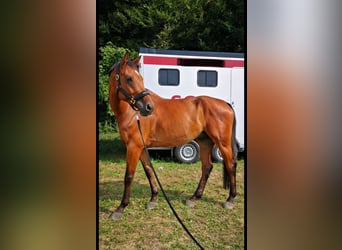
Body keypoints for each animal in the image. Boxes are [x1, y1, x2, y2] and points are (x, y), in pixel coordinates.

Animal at [108, 52, 239, 219]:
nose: (149, 107)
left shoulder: (133, 147)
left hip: (223, 143)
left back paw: (230, 200)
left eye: (139, 78)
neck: (132, 114)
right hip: (205, 142)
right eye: (129, 78)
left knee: (230, 165)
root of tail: (226, 104)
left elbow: (129, 176)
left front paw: (120, 208)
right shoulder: (141, 147)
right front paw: (153, 200)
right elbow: (149, 170)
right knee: (207, 167)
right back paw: (194, 198)